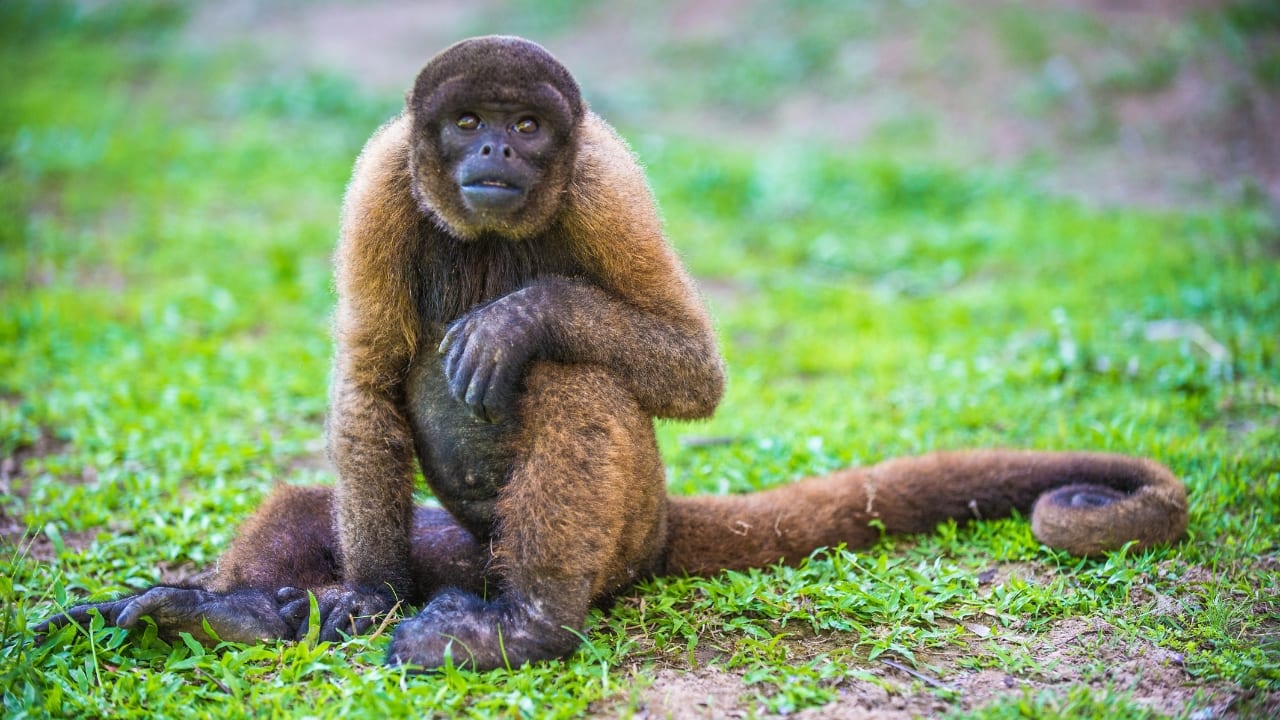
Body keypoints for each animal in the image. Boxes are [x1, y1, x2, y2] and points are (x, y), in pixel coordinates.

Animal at [34, 36, 1189, 671]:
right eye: (465, 120)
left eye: (522, 126)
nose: (491, 149)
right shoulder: (378, 180)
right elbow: (363, 379)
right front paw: (358, 595)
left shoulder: (603, 182)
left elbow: (690, 367)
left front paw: (520, 316)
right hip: (457, 553)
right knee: (308, 510)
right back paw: (235, 614)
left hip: (620, 539)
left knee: (571, 380)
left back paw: (529, 627)